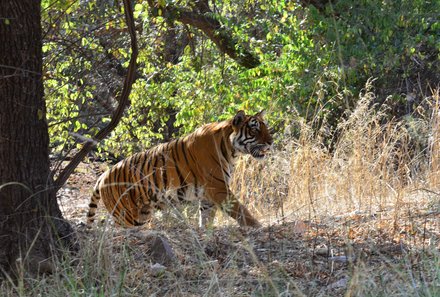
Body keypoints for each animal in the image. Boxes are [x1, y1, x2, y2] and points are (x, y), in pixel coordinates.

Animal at [85, 110, 272, 228]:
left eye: (265, 127)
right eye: (254, 129)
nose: (271, 141)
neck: (231, 150)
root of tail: (103, 175)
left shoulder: (208, 197)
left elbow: (206, 219)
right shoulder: (219, 189)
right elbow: (241, 210)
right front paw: (257, 226)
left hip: (142, 214)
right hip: (127, 216)